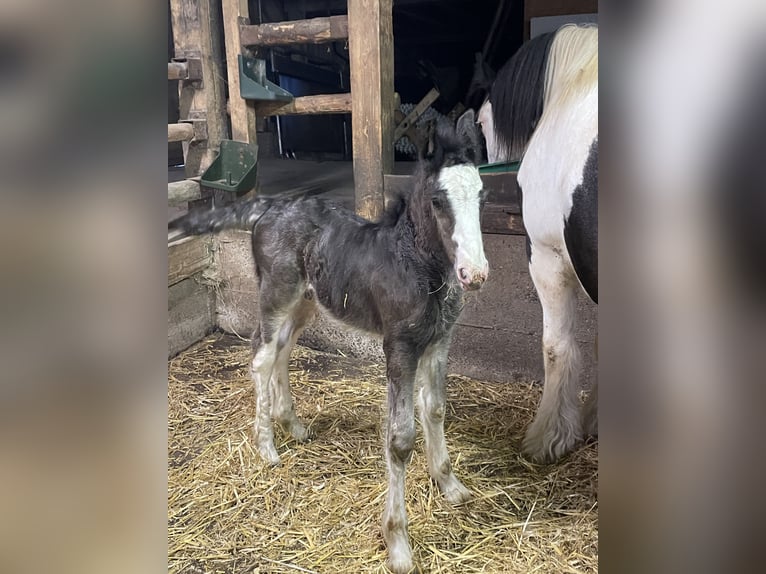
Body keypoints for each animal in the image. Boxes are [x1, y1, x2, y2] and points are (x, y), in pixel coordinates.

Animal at [170, 110, 488, 572]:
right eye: (437, 200)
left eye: (482, 195)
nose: (475, 274)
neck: (415, 264)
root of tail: (270, 205)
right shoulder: (399, 347)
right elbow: (400, 440)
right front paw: (398, 544)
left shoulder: (439, 342)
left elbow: (436, 410)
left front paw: (450, 486)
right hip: (276, 293)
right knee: (261, 356)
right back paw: (267, 448)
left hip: (306, 300)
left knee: (282, 349)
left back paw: (292, 424)